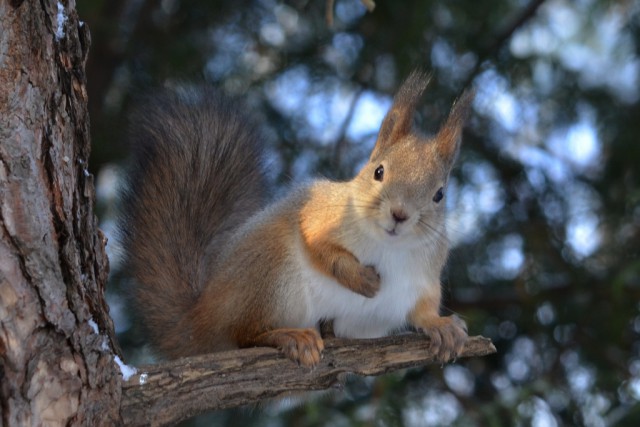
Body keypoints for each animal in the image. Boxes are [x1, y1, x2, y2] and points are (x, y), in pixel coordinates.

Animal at [120, 71, 472, 368]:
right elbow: (317, 243)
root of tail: (201, 315)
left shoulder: (423, 276)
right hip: (271, 273)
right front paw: (359, 278)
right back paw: (289, 336)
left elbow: (424, 307)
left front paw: (442, 326)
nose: (400, 214)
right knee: (245, 334)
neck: (388, 244)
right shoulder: (321, 214)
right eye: (379, 171)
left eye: (439, 194)